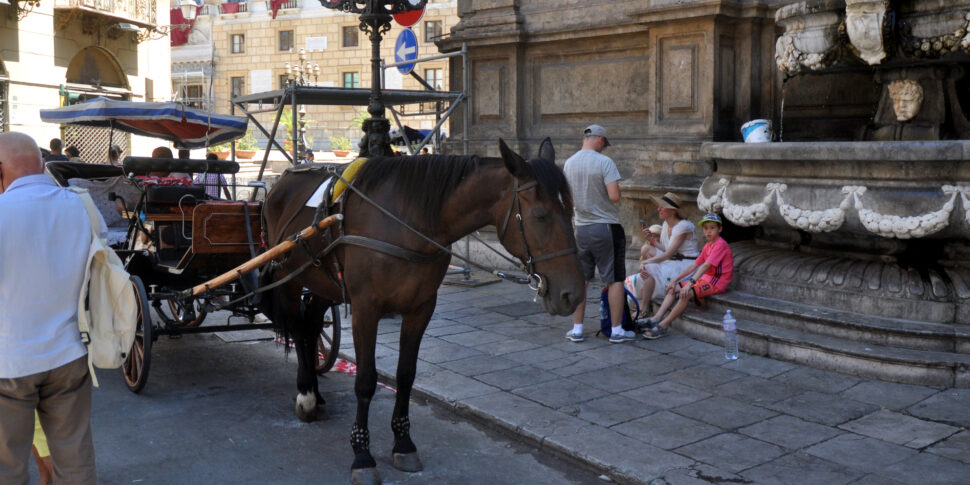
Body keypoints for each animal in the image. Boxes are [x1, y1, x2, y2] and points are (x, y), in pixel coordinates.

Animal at [260, 138, 584, 482]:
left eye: (570, 209)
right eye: (540, 215)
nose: (574, 292)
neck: (408, 220)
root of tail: (279, 183)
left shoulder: (421, 308)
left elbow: (406, 375)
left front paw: (403, 442)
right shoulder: (365, 309)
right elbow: (365, 381)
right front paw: (362, 454)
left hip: (324, 281)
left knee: (310, 324)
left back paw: (316, 392)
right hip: (289, 276)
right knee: (297, 328)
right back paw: (306, 393)